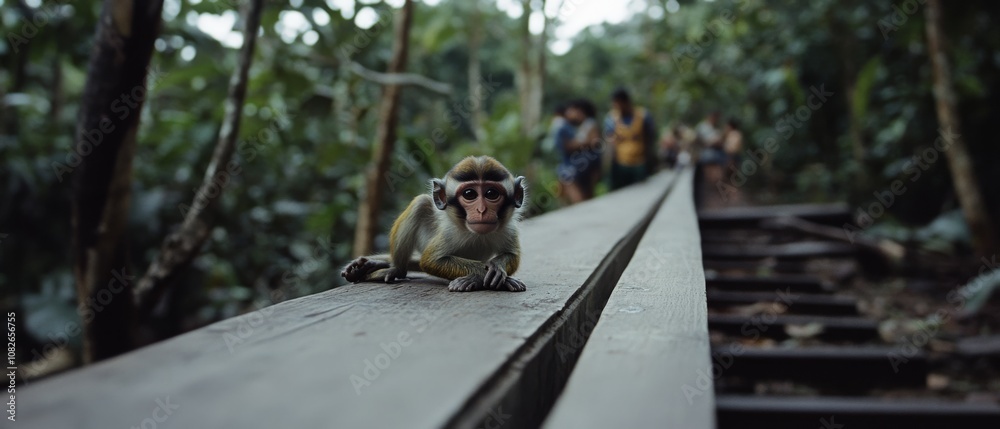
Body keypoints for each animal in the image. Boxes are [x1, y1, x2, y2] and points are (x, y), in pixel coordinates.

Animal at [342, 156, 528, 292]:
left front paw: (496, 267)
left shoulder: (509, 228)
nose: (481, 210)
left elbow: (512, 255)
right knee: (421, 203)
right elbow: (431, 261)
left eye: (491, 193)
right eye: (469, 194)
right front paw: (483, 274)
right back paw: (395, 268)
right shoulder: (448, 233)